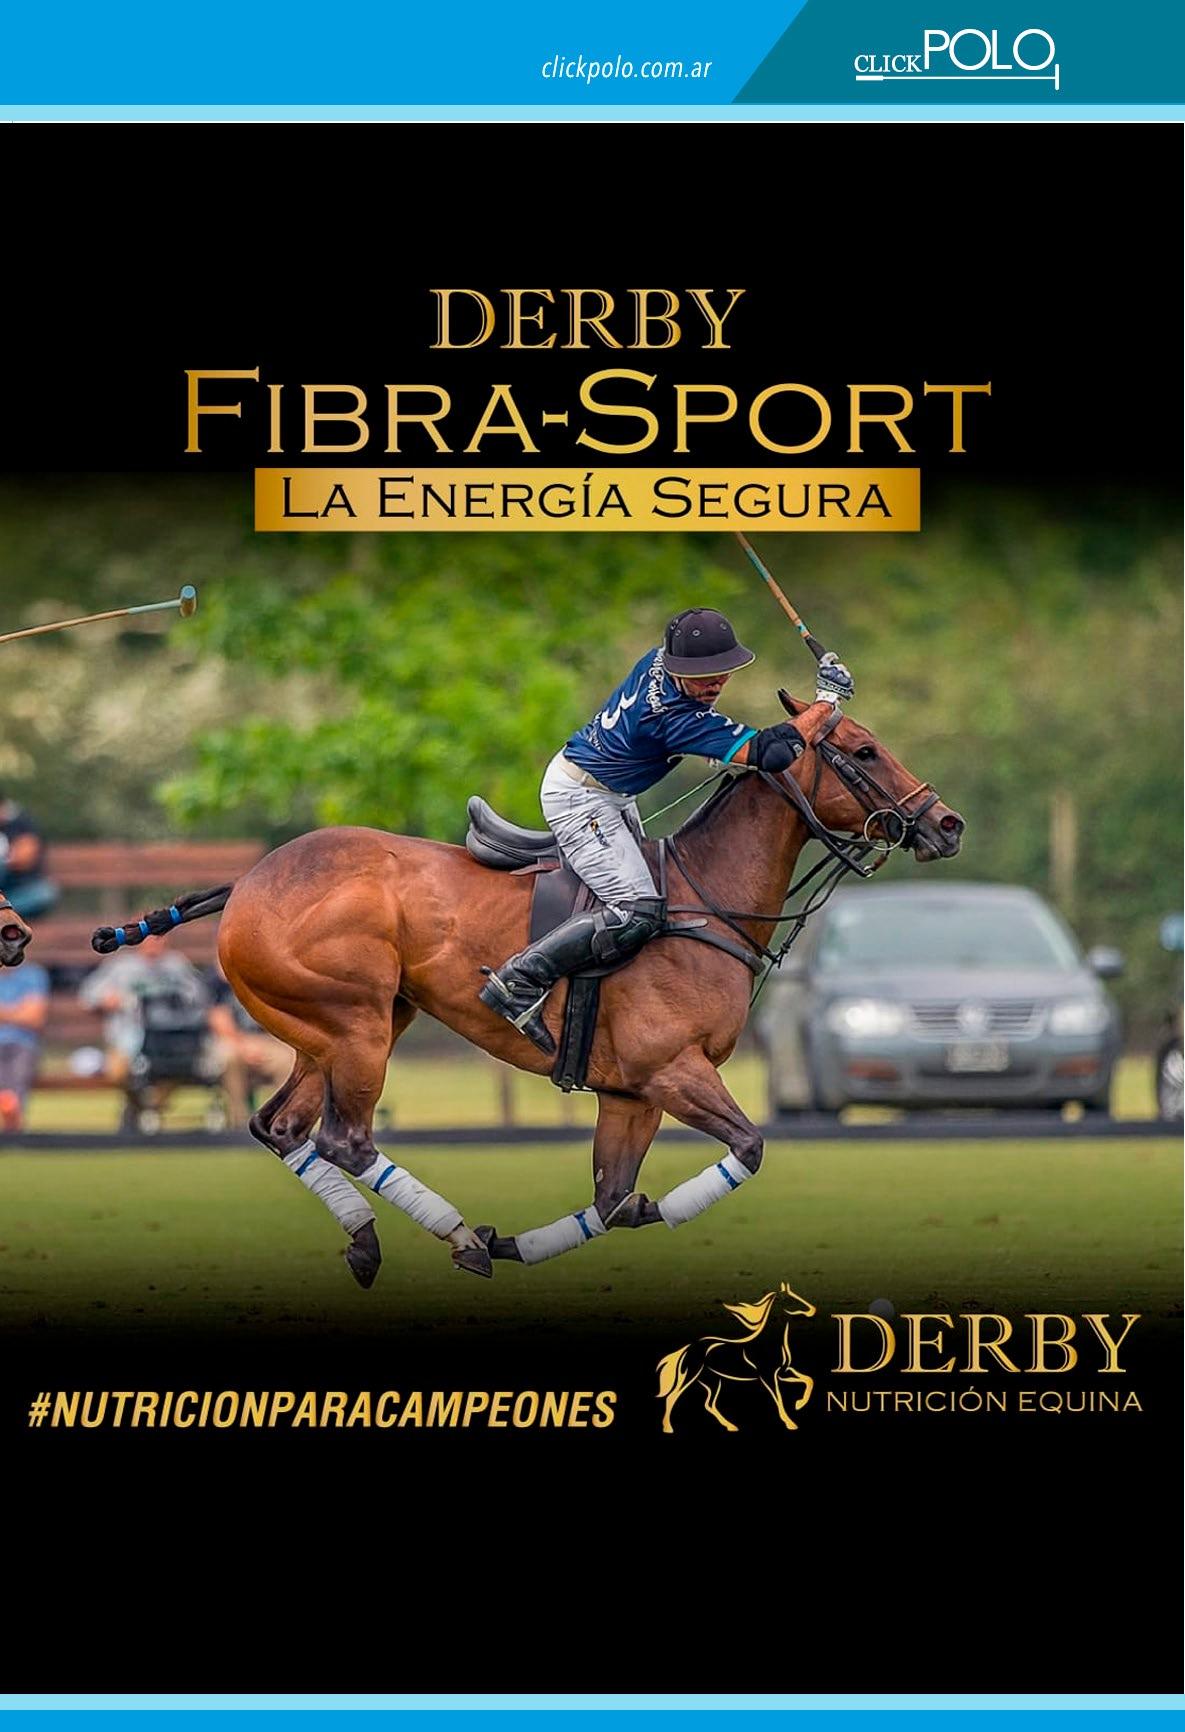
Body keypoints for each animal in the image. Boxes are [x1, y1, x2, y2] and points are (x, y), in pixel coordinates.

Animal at [92, 690, 963, 1284]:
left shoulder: (630, 1094)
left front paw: (518, 1241)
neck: (703, 899)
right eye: (864, 748)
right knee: (343, 1138)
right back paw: (456, 1235)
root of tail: (242, 883)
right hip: (357, 1024)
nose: (946, 824)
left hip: (333, 1029)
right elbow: (743, 1150)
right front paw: (501, 1239)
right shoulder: (671, 1071)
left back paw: (371, 1242)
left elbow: (617, 1202)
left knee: (278, 1127)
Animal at [656, 1281, 817, 1433]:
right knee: (672, 1397)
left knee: (709, 1404)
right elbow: (779, 1397)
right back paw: (668, 1428)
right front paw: (791, 1423)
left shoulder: (782, 1372)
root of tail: (690, 1347)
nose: (812, 1310)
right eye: (790, 1299)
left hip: (712, 1380)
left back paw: (732, 1426)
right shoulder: (768, 1375)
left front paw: (799, 1404)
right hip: (691, 1375)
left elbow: (809, 1379)